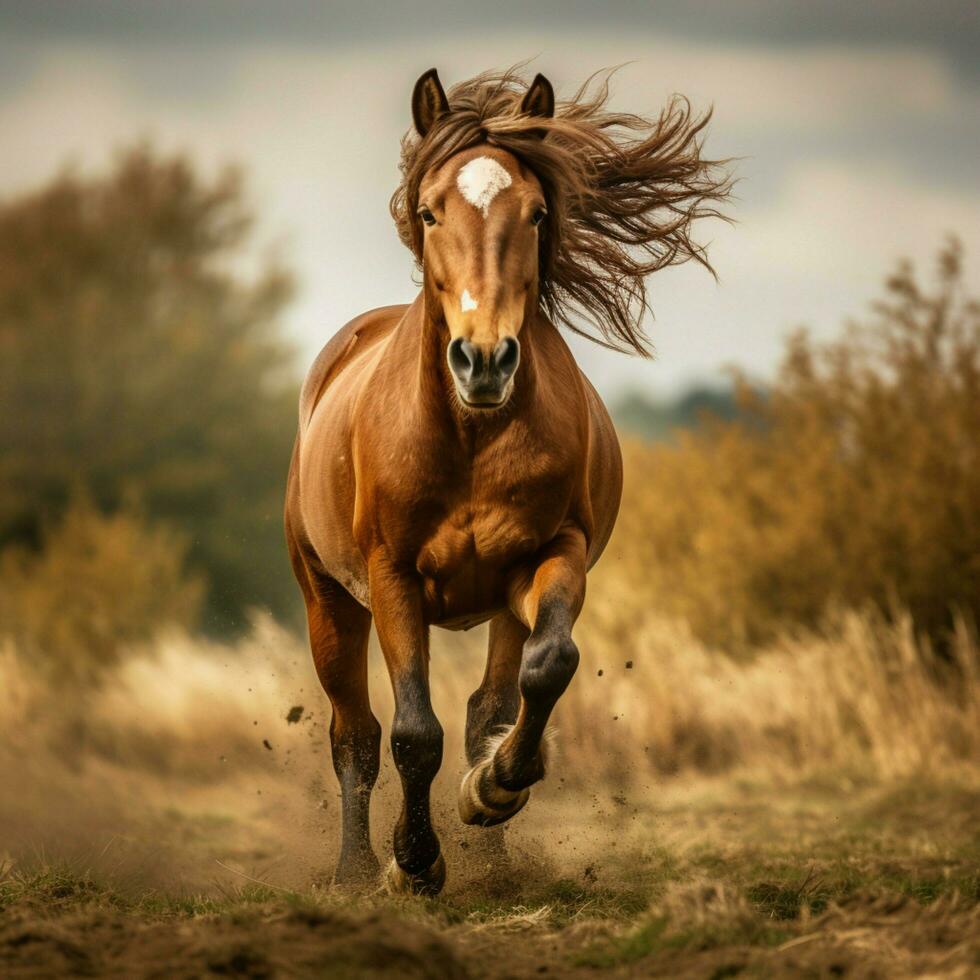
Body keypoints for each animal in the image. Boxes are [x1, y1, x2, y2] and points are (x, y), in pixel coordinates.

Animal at [284, 67, 728, 896]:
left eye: (538, 211)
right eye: (430, 210)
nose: (483, 360)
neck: (470, 437)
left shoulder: (550, 553)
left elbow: (545, 671)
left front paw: (493, 789)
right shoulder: (391, 575)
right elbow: (412, 732)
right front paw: (414, 864)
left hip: (493, 601)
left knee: (487, 701)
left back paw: (490, 856)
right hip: (327, 597)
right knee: (354, 734)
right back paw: (355, 871)